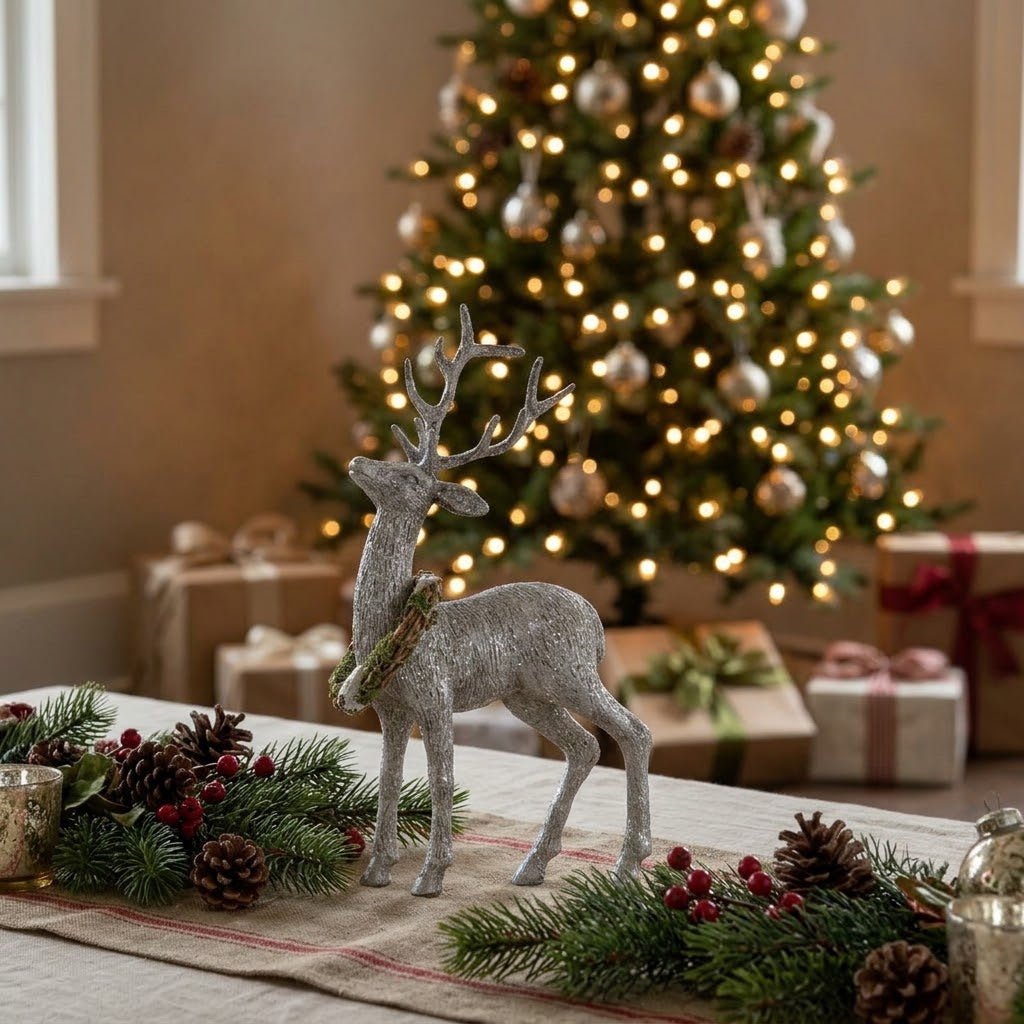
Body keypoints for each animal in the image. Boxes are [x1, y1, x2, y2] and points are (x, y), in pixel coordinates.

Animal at [335, 305, 652, 897]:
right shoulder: (391, 710)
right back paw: (534, 864)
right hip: (528, 693)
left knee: (632, 732)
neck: (391, 631)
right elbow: (389, 779)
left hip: (570, 671)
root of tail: (596, 623)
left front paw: (431, 875)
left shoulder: (436, 696)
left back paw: (629, 861)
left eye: (408, 476)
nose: (358, 462)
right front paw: (377, 869)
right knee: (584, 746)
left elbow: (441, 779)